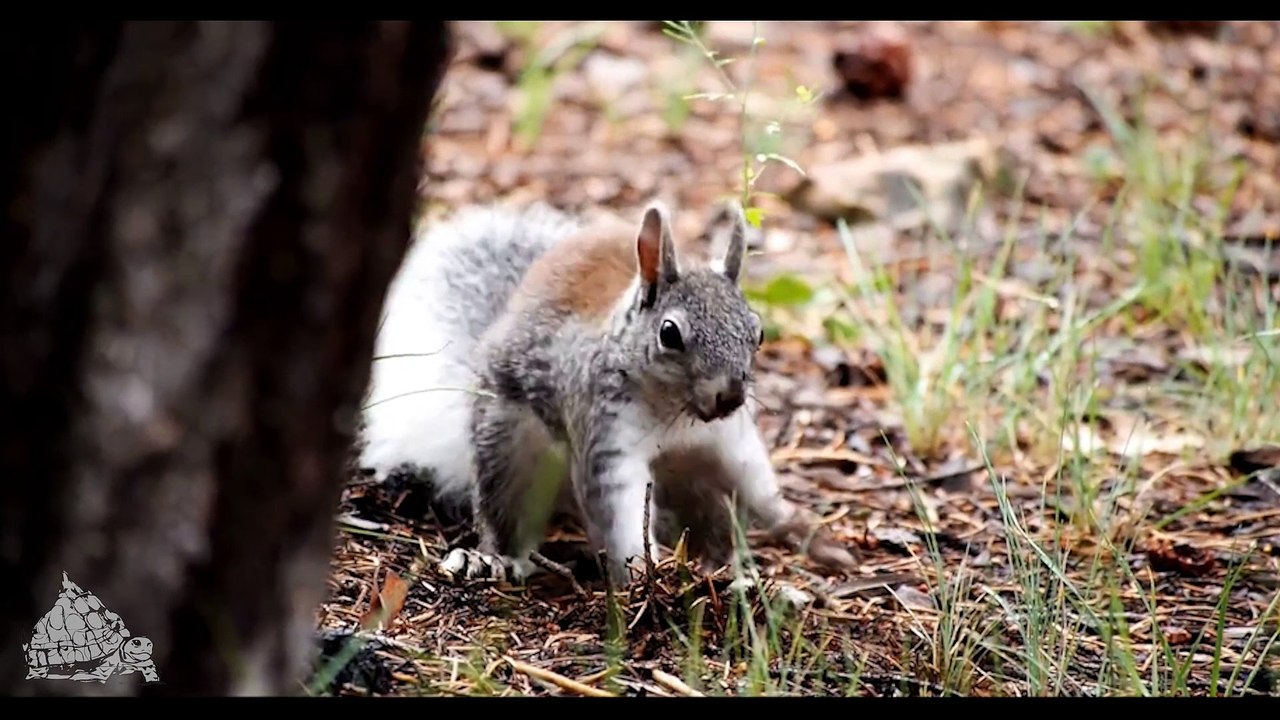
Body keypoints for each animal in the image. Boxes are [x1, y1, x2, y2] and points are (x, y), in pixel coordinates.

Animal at [357, 198, 856, 587]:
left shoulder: (729, 441)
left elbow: (760, 488)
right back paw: (495, 557)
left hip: (693, 478)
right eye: (669, 334)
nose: (729, 396)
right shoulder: (605, 438)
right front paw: (646, 578)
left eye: (758, 332)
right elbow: (619, 514)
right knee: (503, 509)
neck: (673, 412)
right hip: (506, 445)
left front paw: (812, 536)